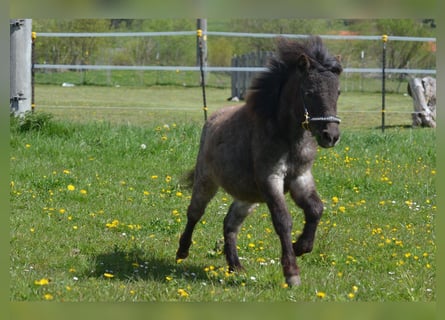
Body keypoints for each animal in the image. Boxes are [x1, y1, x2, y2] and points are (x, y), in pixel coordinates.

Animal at [175, 36, 342, 286]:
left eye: (338, 92)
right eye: (309, 92)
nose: (330, 136)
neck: (287, 137)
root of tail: (212, 119)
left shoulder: (300, 177)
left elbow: (315, 209)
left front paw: (300, 247)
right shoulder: (270, 179)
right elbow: (283, 221)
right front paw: (291, 272)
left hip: (248, 197)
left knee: (230, 223)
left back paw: (235, 266)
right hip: (206, 181)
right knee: (194, 213)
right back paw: (182, 251)